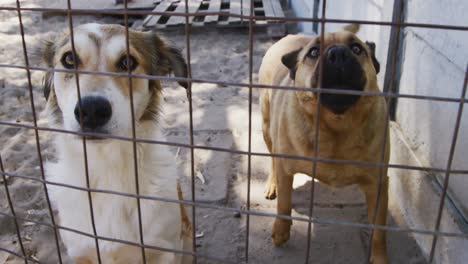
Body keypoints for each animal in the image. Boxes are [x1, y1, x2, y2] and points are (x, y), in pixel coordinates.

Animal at [34, 23, 192, 262]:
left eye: (128, 62)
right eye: (69, 59)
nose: (92, 110)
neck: (107, 168)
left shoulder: (165, 250)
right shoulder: (79, 252)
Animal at [260, 24, 388, 262]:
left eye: (357, 48)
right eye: (313, 52)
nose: (338, 53)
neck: (336, 126)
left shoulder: (378, 184)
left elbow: (379, 231)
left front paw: (380, 257)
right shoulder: (286, 169)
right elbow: (284, 204)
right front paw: (281, 230)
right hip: (267, 128)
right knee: (273, 160)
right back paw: (272, 184)